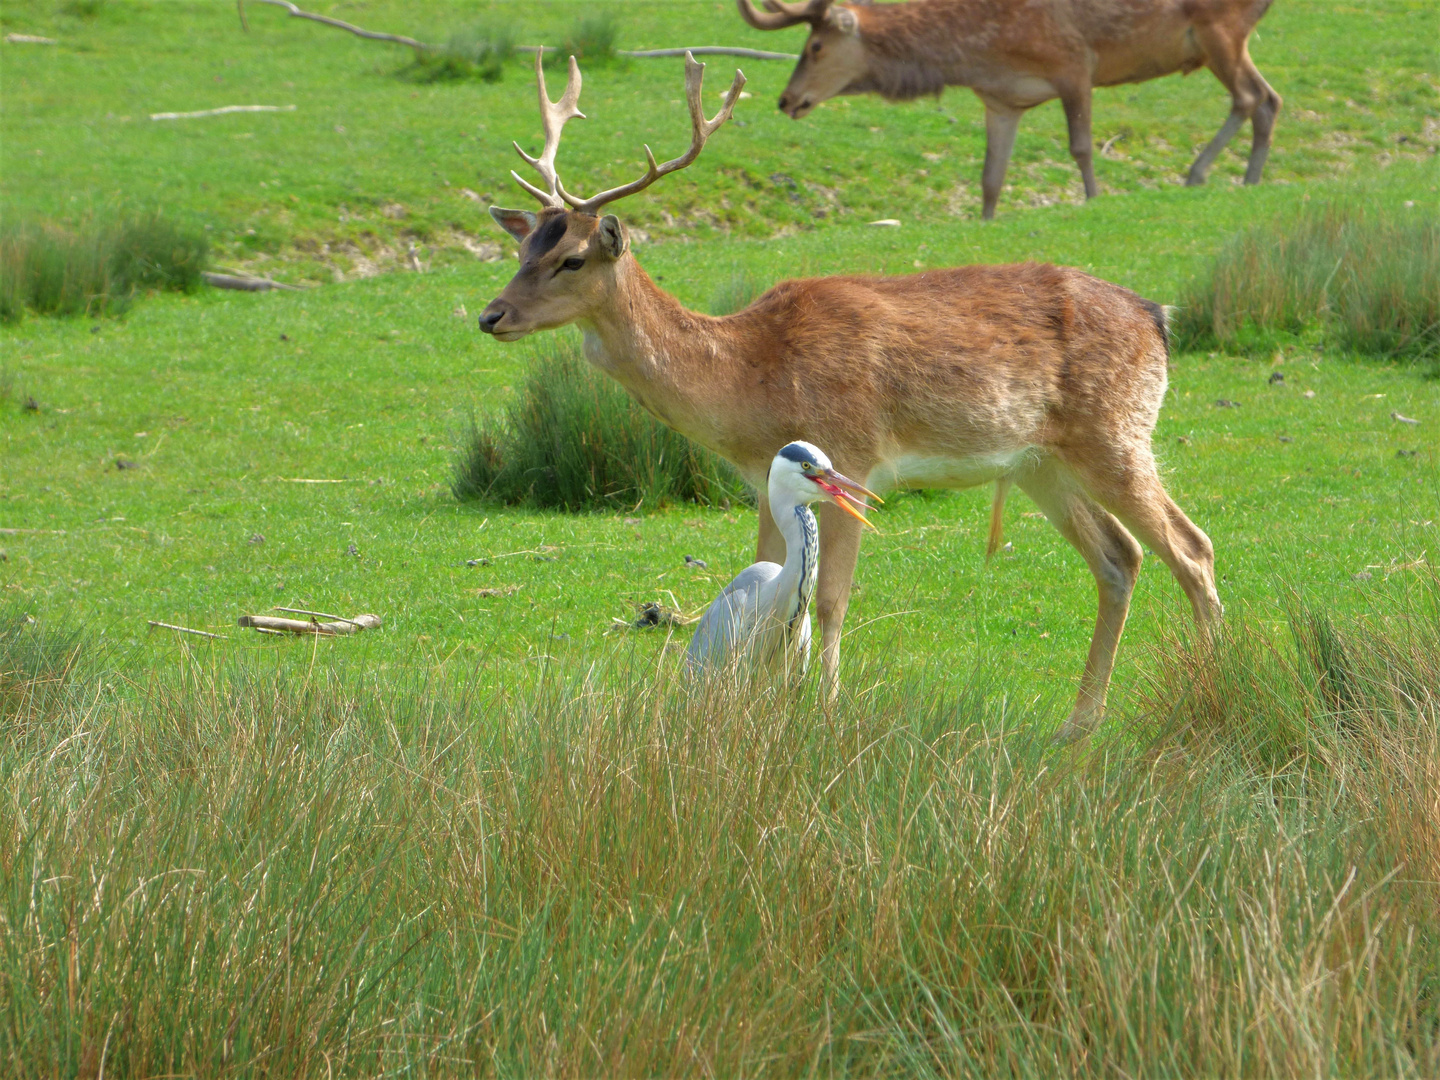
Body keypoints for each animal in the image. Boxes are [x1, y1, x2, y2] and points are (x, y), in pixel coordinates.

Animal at [478, 55, 1221, 743]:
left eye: (572, 258)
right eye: (519, 249)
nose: (490, 316)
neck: (749, 382)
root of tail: (1158, 317)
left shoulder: (855, 456)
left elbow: (830, 600)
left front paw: (826, 707)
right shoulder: (761, 479)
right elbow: (769, 577)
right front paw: (767, 705)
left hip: (1117, 433)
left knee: (1192, 547)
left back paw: (1205, 697)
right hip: (1041, 462)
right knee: (1120, 557)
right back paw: (1078, 722)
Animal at [743, 0, 1284, 220]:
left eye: (814, 46)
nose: (786, 99)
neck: (979, 53)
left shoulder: (1074, 62)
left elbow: (1081, 146)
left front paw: (1093, 198)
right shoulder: (1002, 100)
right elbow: (991, 176)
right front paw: (985, 220)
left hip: (1219, 29)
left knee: (1249, 96)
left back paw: (1199, 174)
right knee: (1268, 98)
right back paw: (1248, 178)